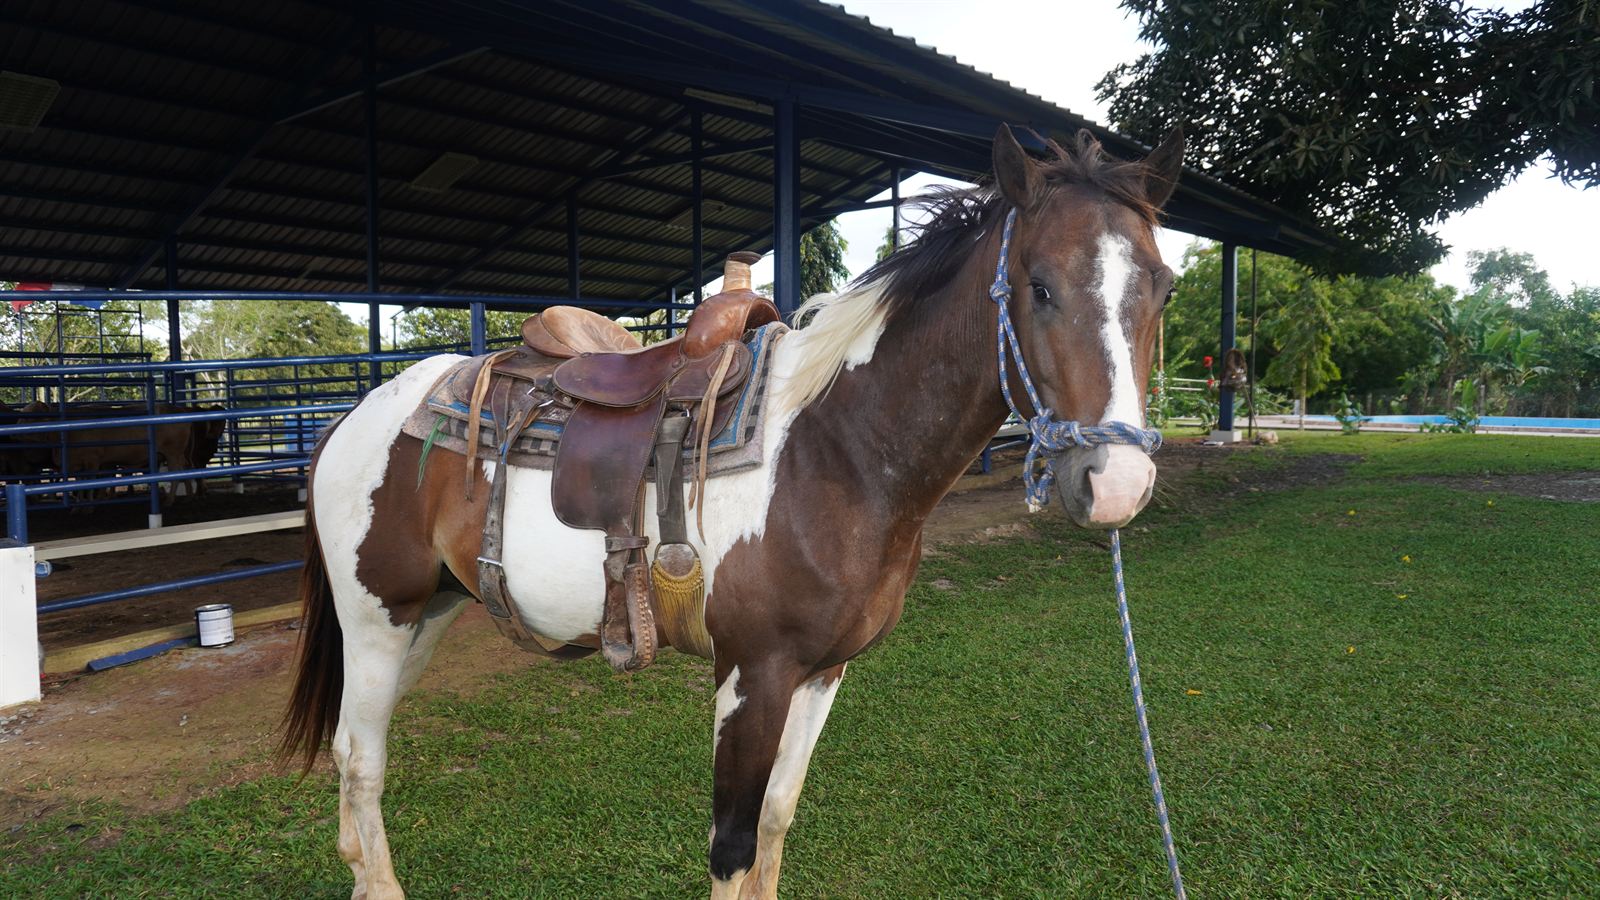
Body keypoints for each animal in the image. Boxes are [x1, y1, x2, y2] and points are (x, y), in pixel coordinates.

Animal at [279, 124, 1184, 899]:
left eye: (1164, 289)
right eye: (1039, 286)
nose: (1117, 484)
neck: (834, 448)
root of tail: (358, 414)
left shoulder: (824, 673)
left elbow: (779, 819)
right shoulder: (755, 673)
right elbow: (733, 845)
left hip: (428, 612)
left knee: (357, 750)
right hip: (378, 617)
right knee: (361, 758)